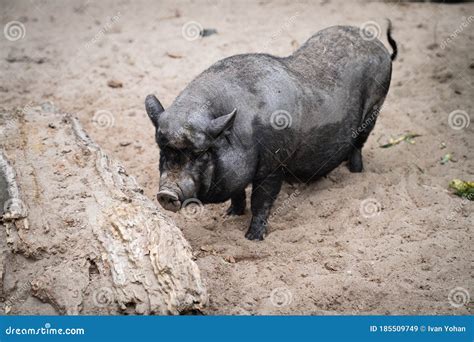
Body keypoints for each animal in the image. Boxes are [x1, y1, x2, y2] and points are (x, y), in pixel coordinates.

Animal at [146, 23, 398, 240]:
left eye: (200, 154)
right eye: (162, 150)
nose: (166, 194)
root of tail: (381, 47)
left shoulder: (274, 165)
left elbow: (261, 201)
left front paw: (253, 238)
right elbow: (238, 193)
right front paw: (230, 215)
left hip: (375, 108)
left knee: (358, 146)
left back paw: (355, 172)